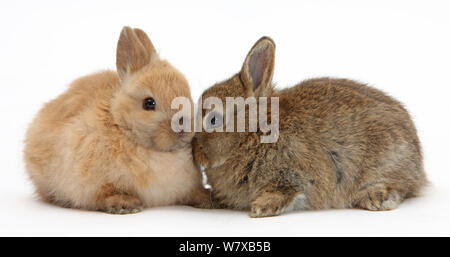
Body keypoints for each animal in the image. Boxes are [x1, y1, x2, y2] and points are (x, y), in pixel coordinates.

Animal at [25, 27, 205, 213]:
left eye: (188, 94)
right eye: (149, 103)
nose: (184, 127)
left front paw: (205, 198)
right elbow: (104, 193)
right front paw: (125, 204)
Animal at [192, 36, 426, 216]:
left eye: (213, 120)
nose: (195, 151)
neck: (254, 132)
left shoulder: (299, 173)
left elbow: (288, 191)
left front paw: (261, 207)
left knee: (402, 185)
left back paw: (375, 197)